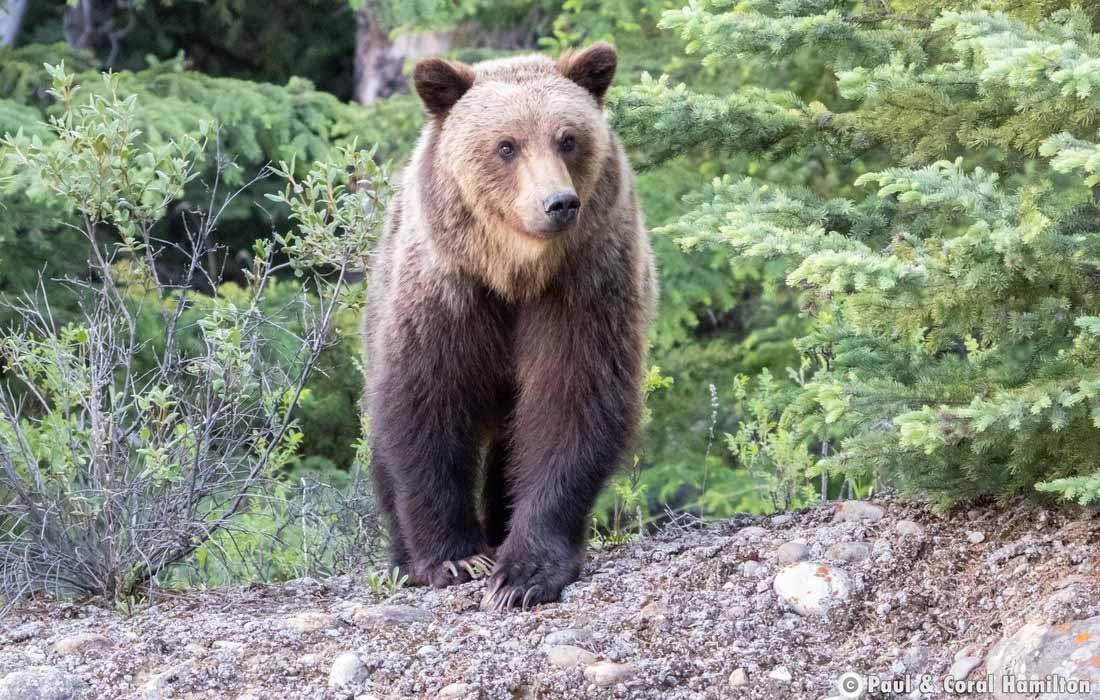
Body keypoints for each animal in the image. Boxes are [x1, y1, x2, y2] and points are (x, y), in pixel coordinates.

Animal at [363, 42, 651, 607]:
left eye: (568, 138)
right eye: (505, 146)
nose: (559, 203)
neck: (515, 275)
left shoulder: (583, 289)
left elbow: (572, 403)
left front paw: (523, 573)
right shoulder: (448, 294)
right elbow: (425, 405)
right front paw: (453, 557)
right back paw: (403, 555)